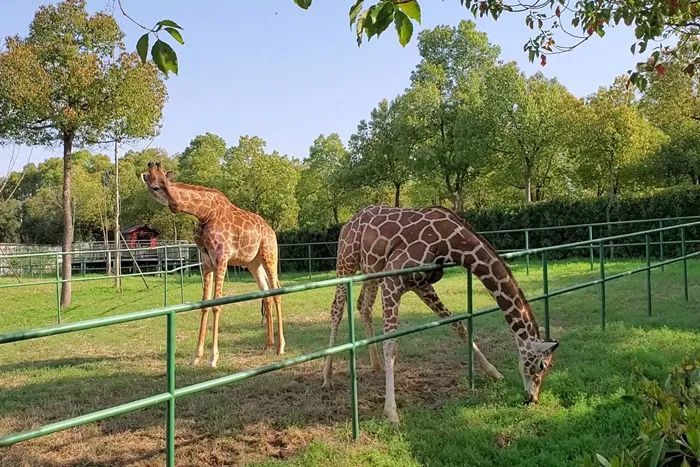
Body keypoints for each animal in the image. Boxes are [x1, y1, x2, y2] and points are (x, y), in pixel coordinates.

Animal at [141, 163, 286, 368]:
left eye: (167, 183)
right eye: (155, 187)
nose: (175, 205)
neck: (204, 214)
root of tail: (271, 230)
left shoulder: (221, 257)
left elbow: (217, 304)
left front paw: (213, 358)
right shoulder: (207, 262)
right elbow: (204, 304)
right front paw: (196, 356)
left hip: (269, 255)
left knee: (277, 292)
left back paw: (280, 347)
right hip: (253, 263)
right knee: (266, 293)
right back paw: (268, 344)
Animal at [322, 205, 556, 424]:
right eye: (541, 366)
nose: (532, 398)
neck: (450, 242)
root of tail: (347, 223)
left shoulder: (421, 284)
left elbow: (457, 325)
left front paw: (493, 372)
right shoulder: (393, 279)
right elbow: (391, 345)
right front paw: (391, 412)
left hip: (370, 270)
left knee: (364, 306)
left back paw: (376, 365)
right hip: (346, 262)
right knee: (337, 309)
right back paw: (327, 377)